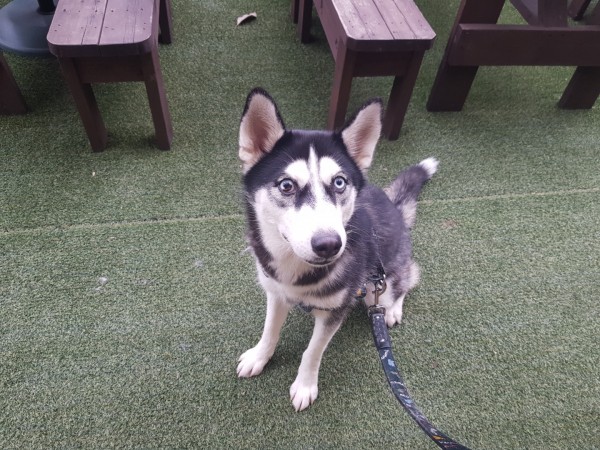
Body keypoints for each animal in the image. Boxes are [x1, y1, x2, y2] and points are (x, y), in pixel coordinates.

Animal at [236, 88, 437, 411]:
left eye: (340, 182)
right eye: (287, 185)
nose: (329, 244)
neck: (296, 270)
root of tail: (394, 207)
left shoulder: (335, 311)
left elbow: (312, 351)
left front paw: (305, 385)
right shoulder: (275, 292)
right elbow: (269, 331)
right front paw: (259, 356)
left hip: (378, 285)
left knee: (406, 280)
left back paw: (393, 308)